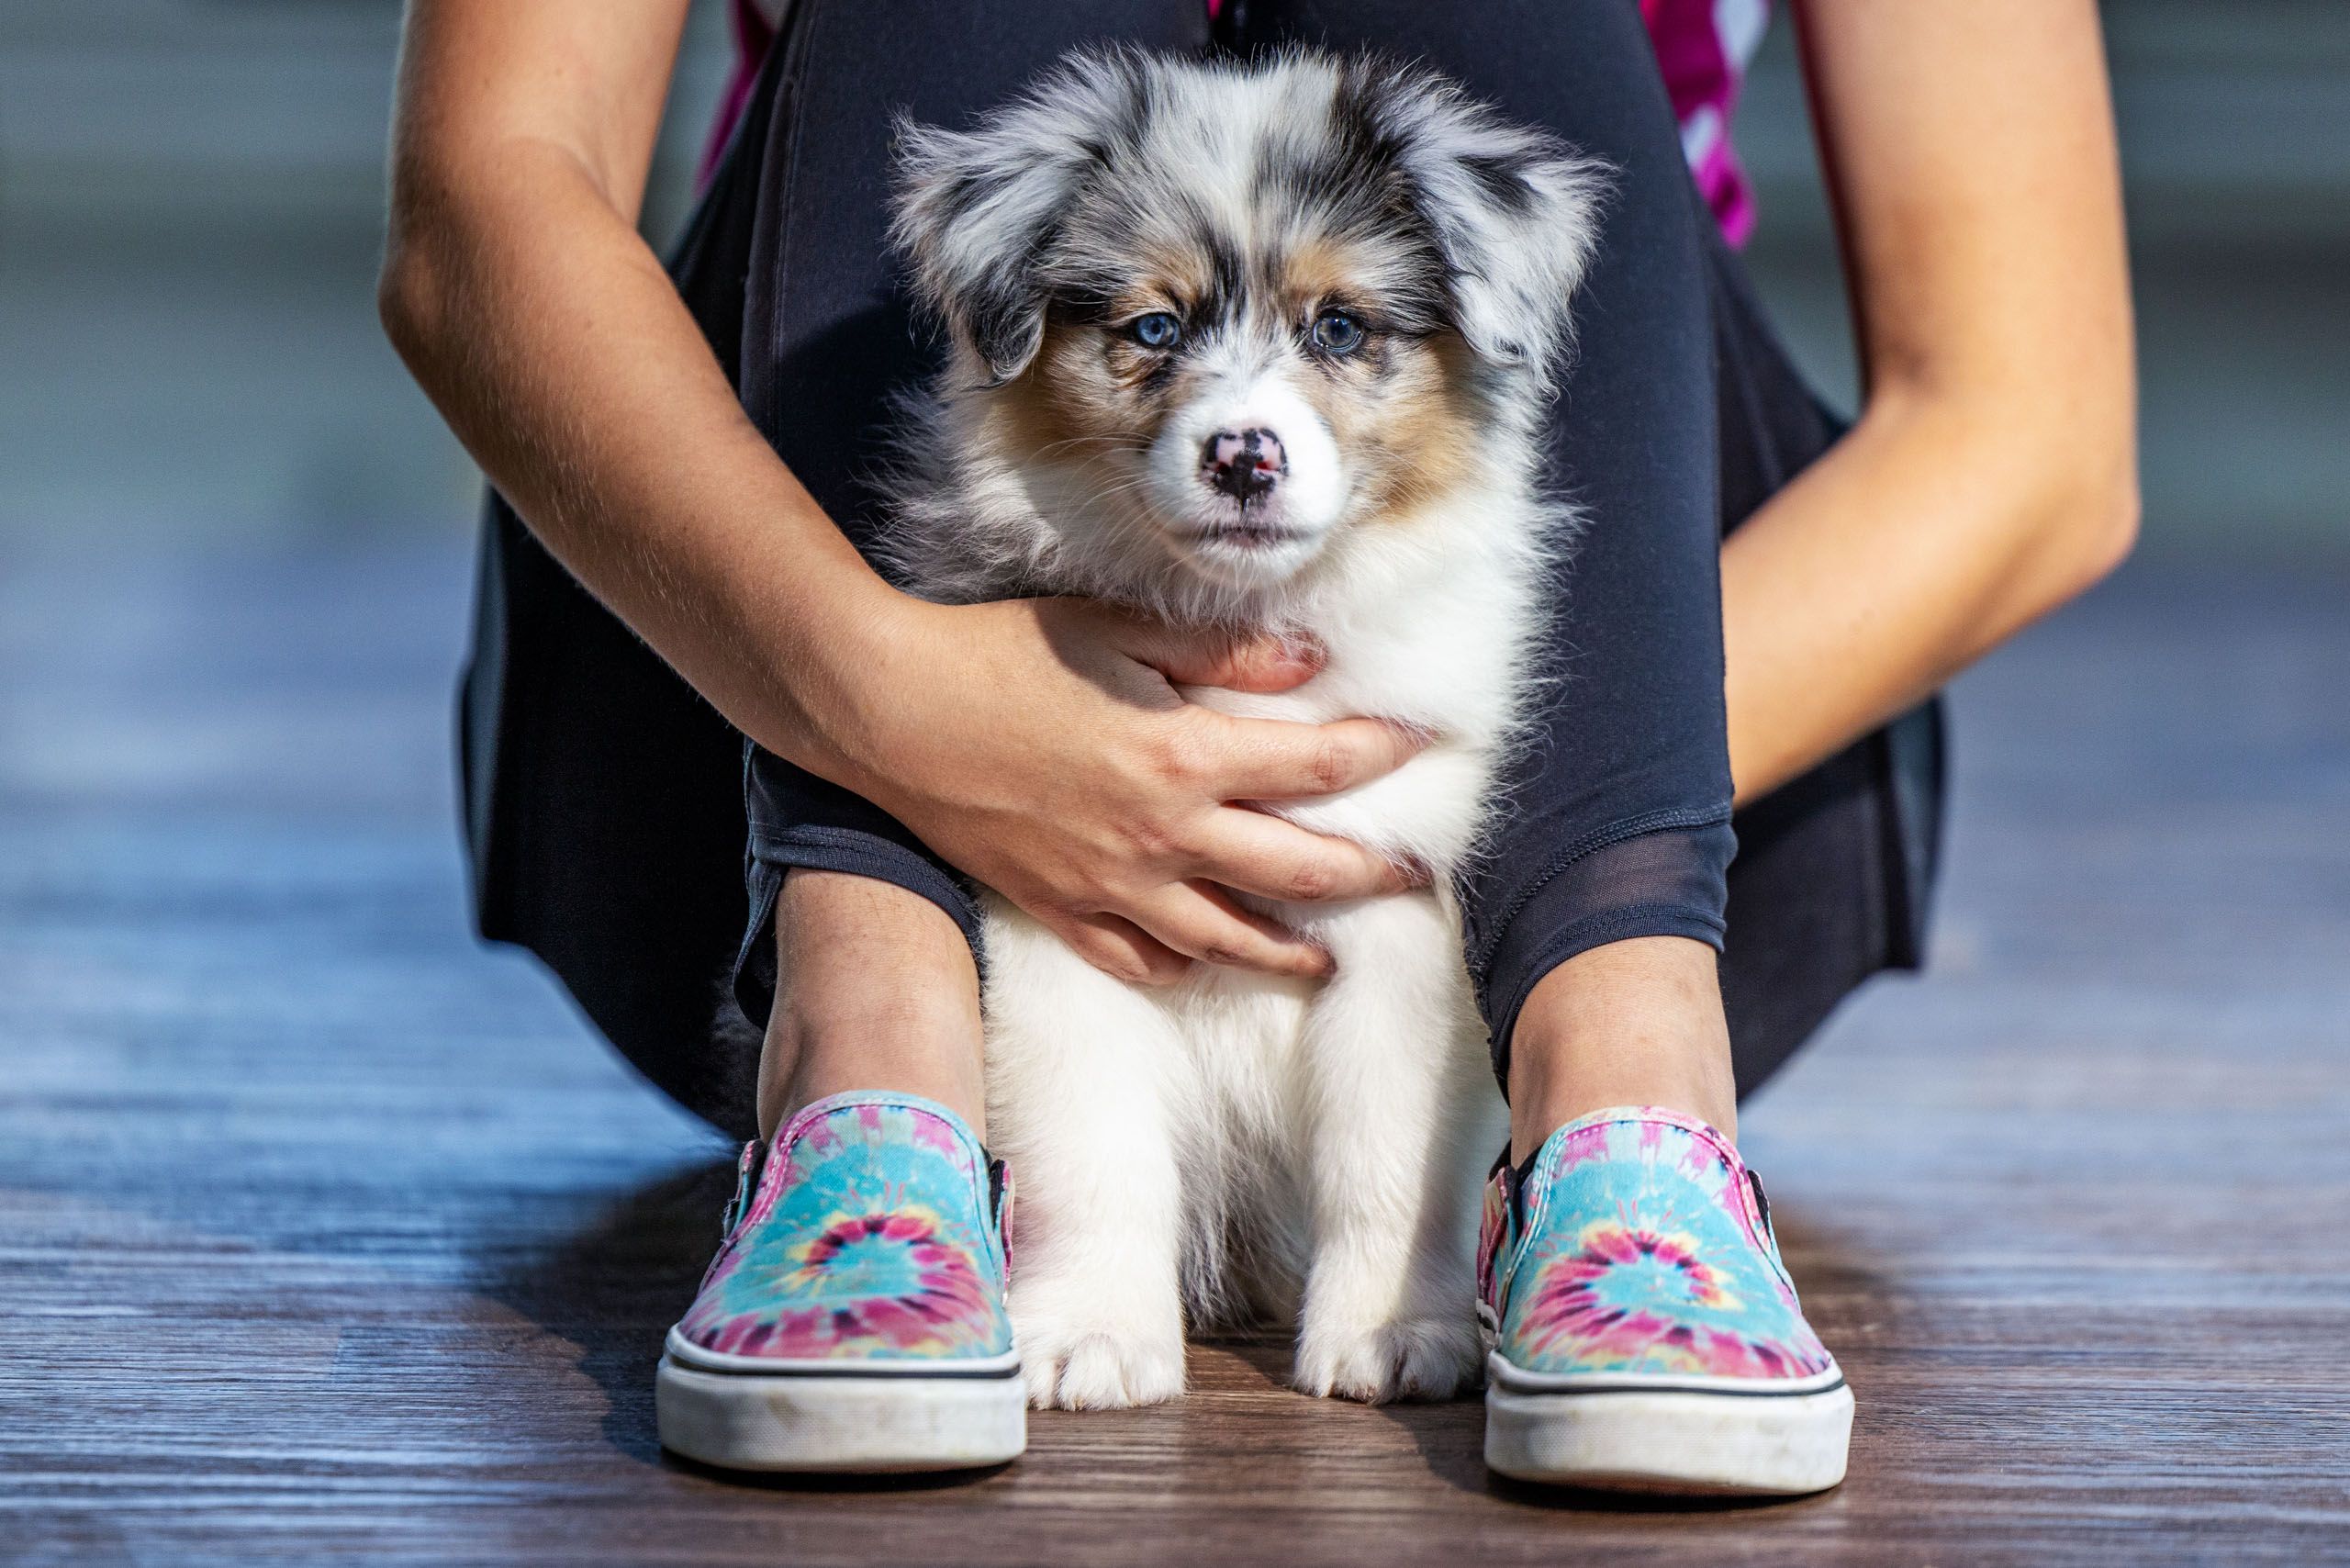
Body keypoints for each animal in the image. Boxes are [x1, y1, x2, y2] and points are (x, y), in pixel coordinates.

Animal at [878, 49, 1597, 1410]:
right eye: (1155, 328)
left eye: (1340, 328)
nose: (1243, 457)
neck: (1238, 627)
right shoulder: (1061, 912)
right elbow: (1089, 1142)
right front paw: (1093, 1333)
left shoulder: (1394, 895)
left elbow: (1385, 1151)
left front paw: (1389, 1332)